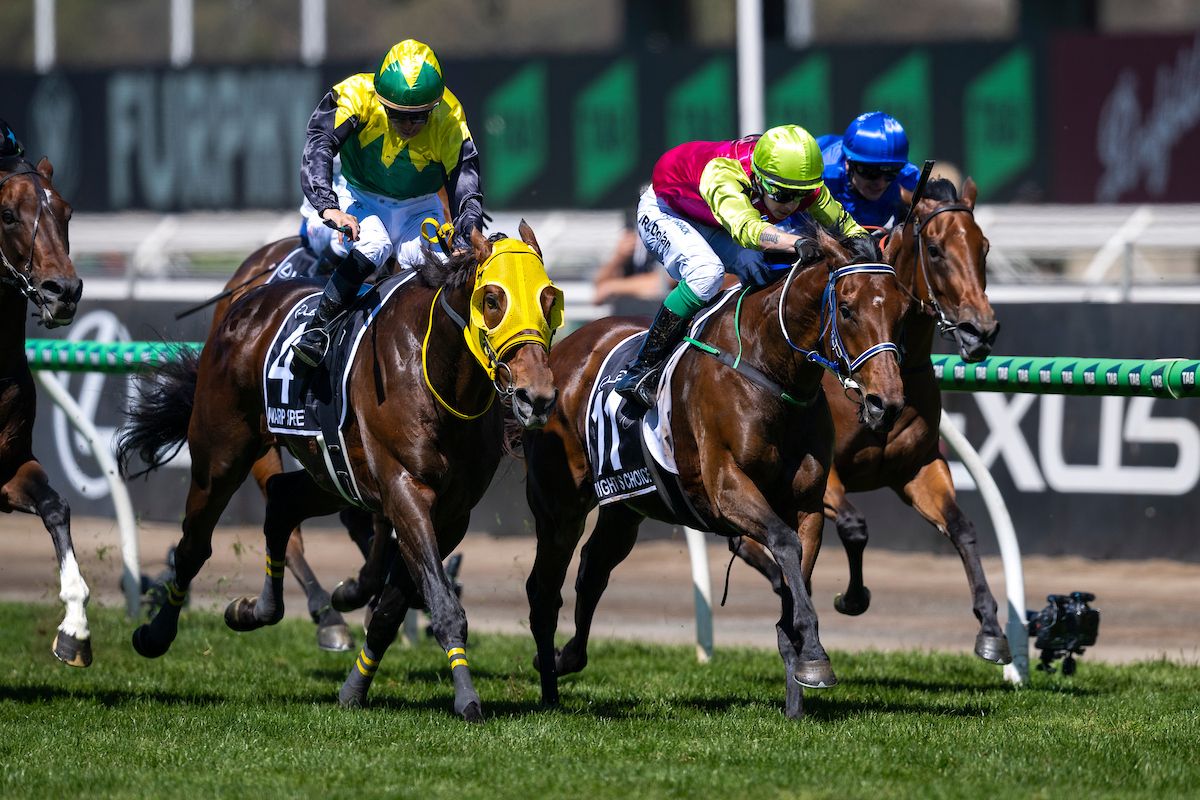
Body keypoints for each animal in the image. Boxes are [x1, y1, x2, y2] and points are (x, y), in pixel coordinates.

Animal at [117, 224, 562, 721]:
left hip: (332, 475)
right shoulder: (405, 490)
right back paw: (155, 634)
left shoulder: (451, 513)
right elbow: (444, 605)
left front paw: (354, 687)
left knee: (282, 500)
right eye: (492, 298)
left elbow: (392, 608)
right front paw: (467, 698)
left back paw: (258, 610)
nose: (537, 397)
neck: (434, 370)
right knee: (195, 544)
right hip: (222, 453)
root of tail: (248, 301)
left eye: (549, 299)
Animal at [523, 226, 908, 720]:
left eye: (901, 309)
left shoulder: (807, 502)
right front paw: (814, 657)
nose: (887, 403)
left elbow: (795, 571)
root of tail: (562, 349)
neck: (771, 371)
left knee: (593, 569)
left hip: (626, 505)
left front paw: (799, 676)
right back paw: (549, 691)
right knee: (543, 592)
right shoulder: (726, 487)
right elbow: (783, 543)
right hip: (559, 508)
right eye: (846, 307)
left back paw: (566, 657)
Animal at [730, 178, 1011, 665]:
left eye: (985, 248)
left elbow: (962, 527)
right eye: (934, 249)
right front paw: (851, 597)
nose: (980, 331)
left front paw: (990, 627)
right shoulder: (825, 477)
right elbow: (854, 527)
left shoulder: (917, 468)